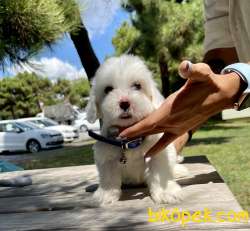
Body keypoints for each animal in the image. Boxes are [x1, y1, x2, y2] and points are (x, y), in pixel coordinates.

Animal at [87, 54, 187, 206]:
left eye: (137, 85)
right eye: (108, 89)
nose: (124, 103)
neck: (129, 141)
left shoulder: (157, 152)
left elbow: (161, 174)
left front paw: (166, 192)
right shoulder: (106, 156)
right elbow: (108, 178)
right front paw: (105, 195)